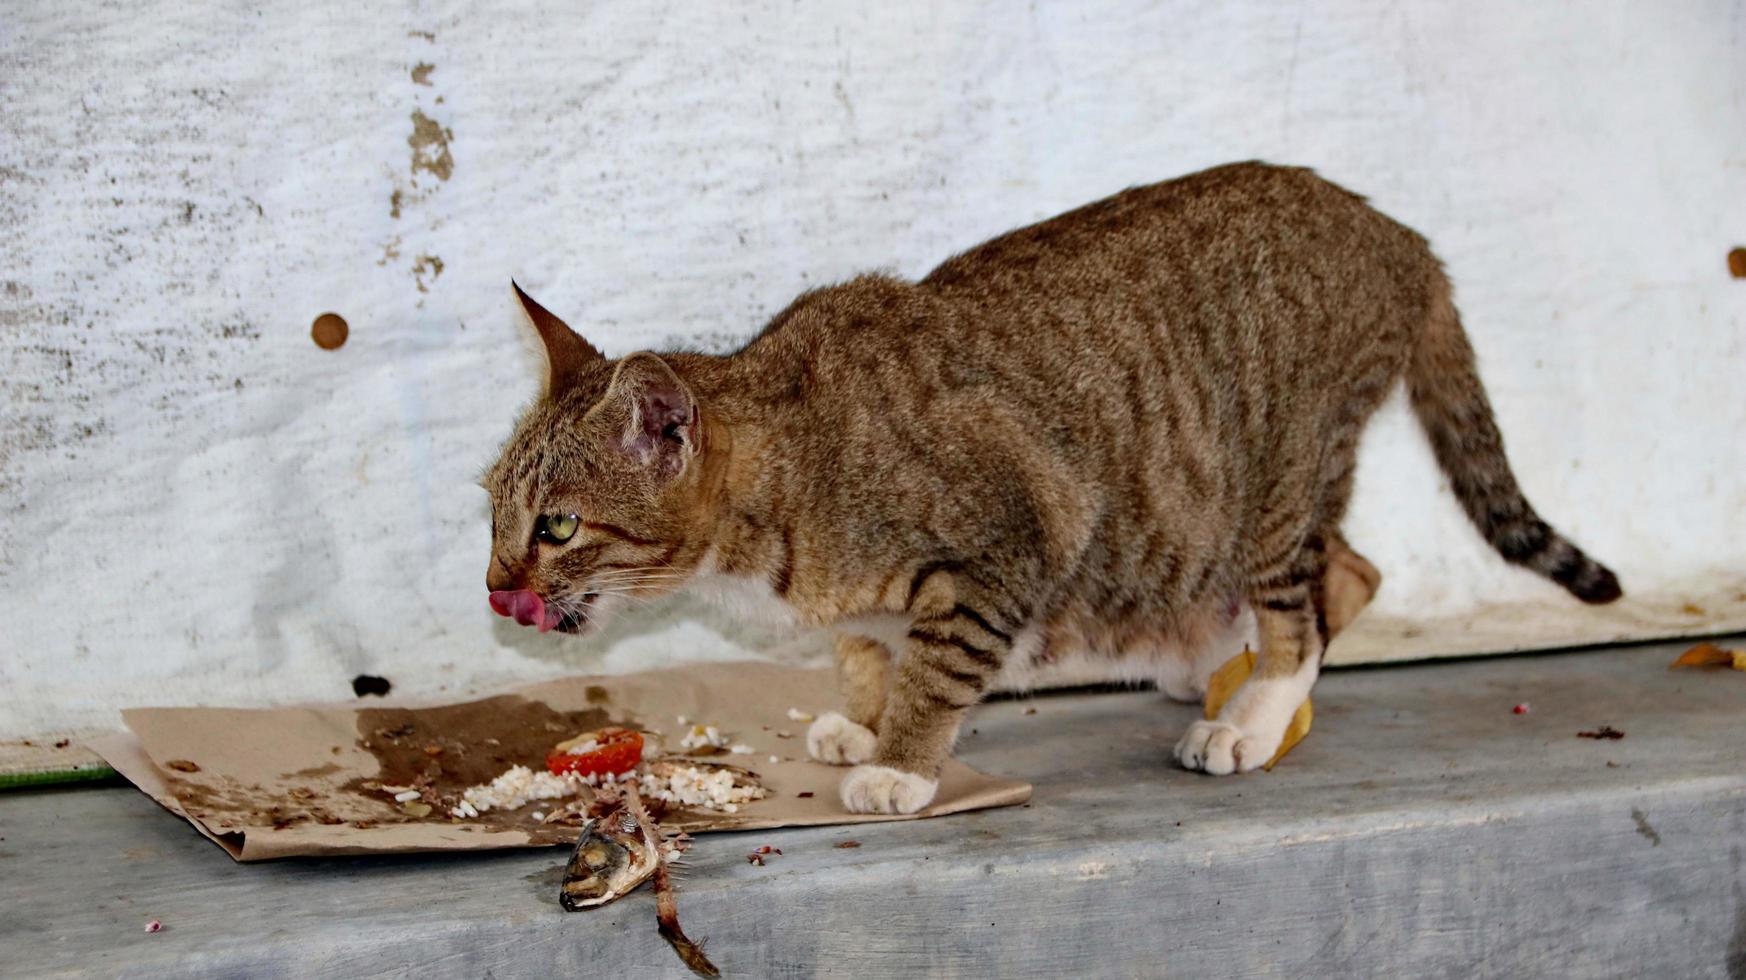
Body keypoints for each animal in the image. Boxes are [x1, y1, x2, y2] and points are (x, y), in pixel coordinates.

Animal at [481, 164, 1620, 814]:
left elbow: (941, 664)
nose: (496, 588)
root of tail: (1400, 238)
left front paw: (903, 758)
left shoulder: (1018, 533)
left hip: (1274, 474)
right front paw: (865, 711)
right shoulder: (870, 597)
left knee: (1323, 589)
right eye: (492, 510)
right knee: (1347, 565)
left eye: (559, 525)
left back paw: (1255, 709)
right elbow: (868, 642)